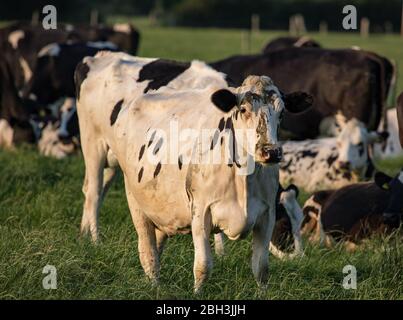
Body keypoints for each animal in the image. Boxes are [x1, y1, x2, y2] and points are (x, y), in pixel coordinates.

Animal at [76, 50, 314, 292]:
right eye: (244, 109)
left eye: (282, 113)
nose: (271, 152)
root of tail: (99, 55)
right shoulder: (201, 211)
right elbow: (203, 266)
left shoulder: (266, 215)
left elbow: (261, 268)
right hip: (101, 154)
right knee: (104, 203)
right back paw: (98, 242)